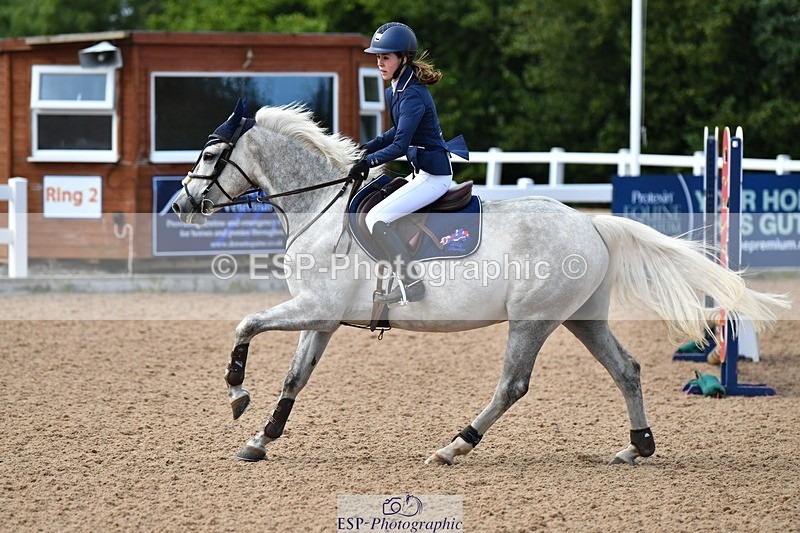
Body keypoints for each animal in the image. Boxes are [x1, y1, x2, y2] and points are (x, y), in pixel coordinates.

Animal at [172, 101, 788, 466]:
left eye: (209, 152)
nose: (181, 203)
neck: (318, 206)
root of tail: (591, 221)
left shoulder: (313, 308)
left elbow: (245, 324)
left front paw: (237, 394)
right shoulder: (320, 316)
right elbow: (295, 377)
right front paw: (261, 438)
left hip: (533, 321)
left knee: (512, 385)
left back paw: (454, 446)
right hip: (582, 318)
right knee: (626, 369)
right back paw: (637, 447)